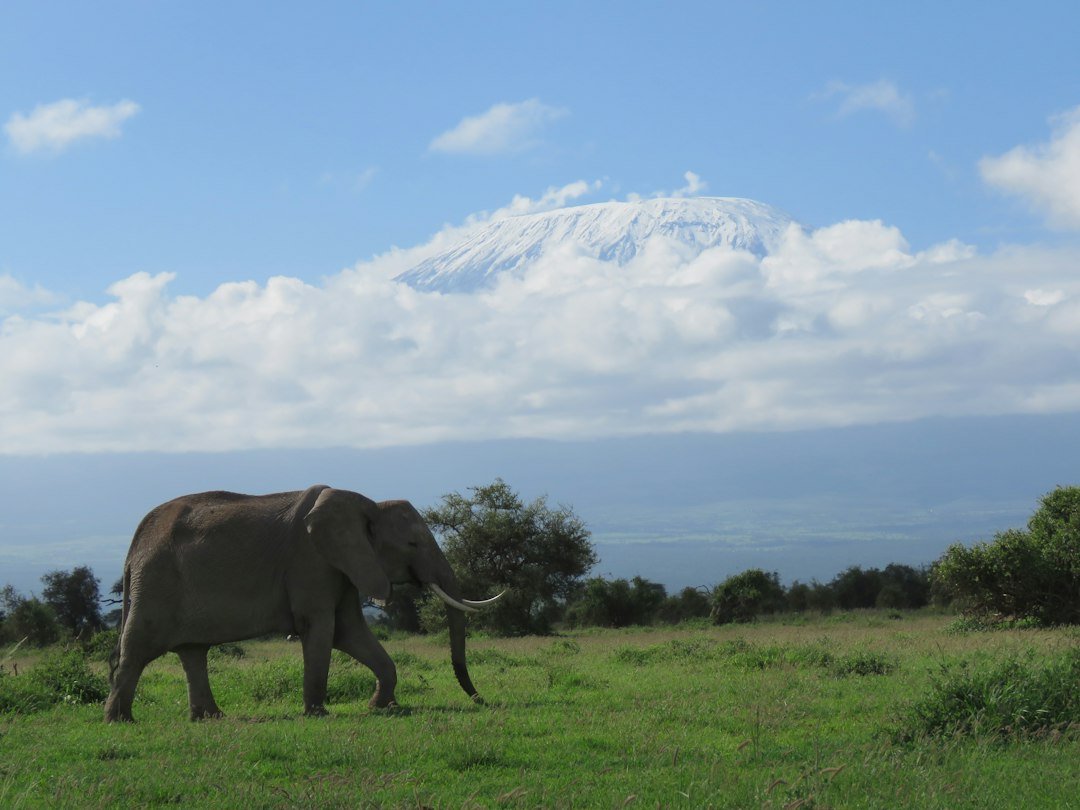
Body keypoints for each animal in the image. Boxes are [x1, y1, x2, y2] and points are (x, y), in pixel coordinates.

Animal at [103, 484, 501, 722]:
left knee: (192, 652)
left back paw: (210, 718)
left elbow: (350, 632)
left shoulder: (343, 565)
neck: (367, 505)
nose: (480, 700)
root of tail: (134, 545)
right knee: (137, 650)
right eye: (413, 545)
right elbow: (322, 628)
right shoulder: (312, 560)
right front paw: (318, 714)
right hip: (156, 581)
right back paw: (119, 720)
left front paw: (381, 706)